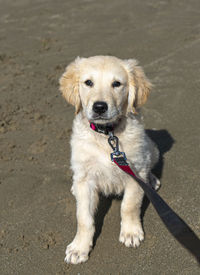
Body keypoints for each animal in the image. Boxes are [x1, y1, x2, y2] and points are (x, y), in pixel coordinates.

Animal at [59, 55, 159, 266]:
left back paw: (152, 180)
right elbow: (84, 218)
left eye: (117, 84)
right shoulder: (86, 177)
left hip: (151, 148)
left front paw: (130, 232)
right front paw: (79, 247)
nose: (99, 107)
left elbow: (129, 205)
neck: (107, 134)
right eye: (88, 82)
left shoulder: (135, 171)